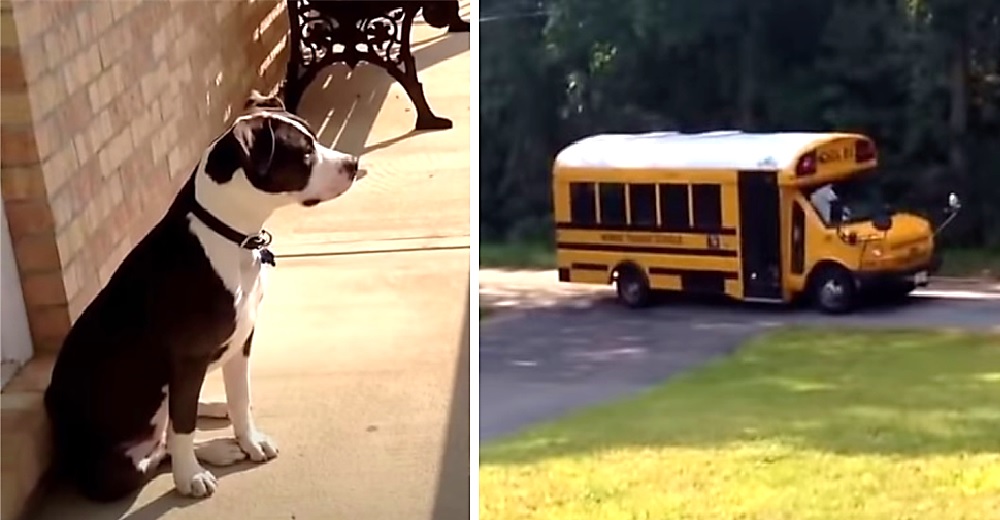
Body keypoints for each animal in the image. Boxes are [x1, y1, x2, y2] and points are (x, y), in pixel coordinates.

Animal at [45, 90, 364, 500]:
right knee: (161, 445)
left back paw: (214, 420)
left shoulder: (243, 338)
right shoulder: (188, 358)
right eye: (305, 152)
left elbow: (241, 398)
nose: (353, 163)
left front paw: (249, 441)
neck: (229, 233)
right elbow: (183, 429)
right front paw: (189, 477)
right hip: (113, 471)